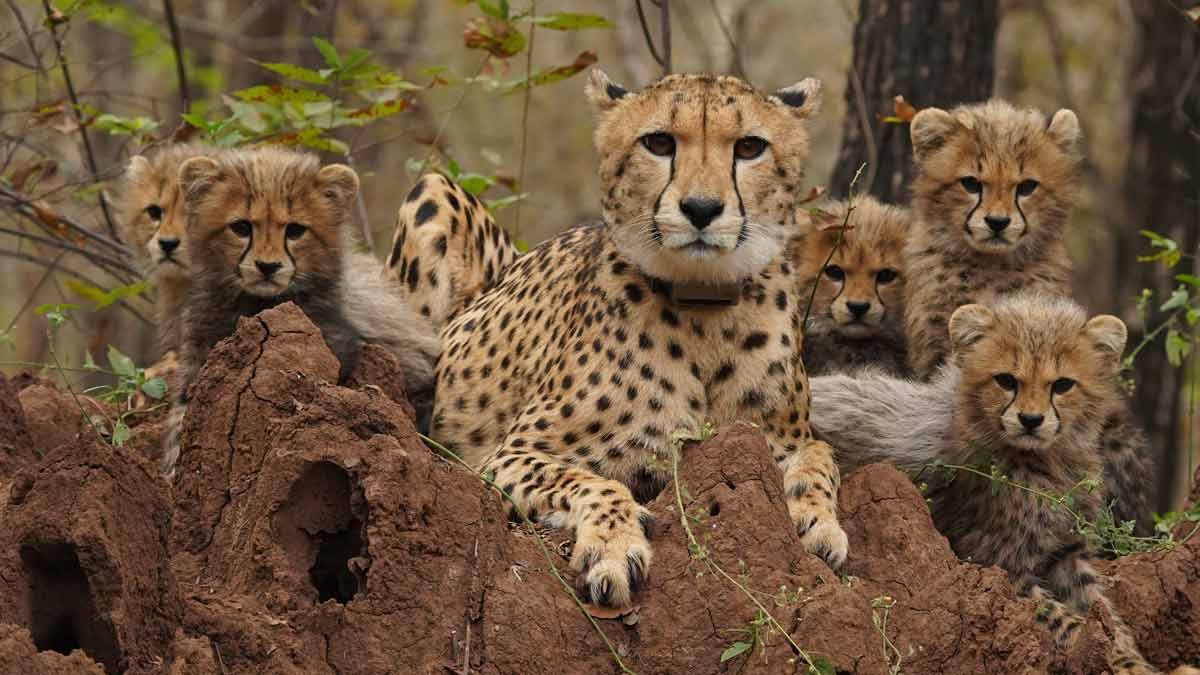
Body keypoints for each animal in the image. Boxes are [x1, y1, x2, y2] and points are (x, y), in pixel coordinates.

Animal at [425, 69, 848, 610]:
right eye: (659, 142)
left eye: (750, 146)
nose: (701, 209)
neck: (704, 308)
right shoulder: (505, 456)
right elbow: (593, 481)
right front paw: (613, 546)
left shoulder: (777, 437)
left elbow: (820, 455)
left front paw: (819, 520)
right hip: (434, 187)